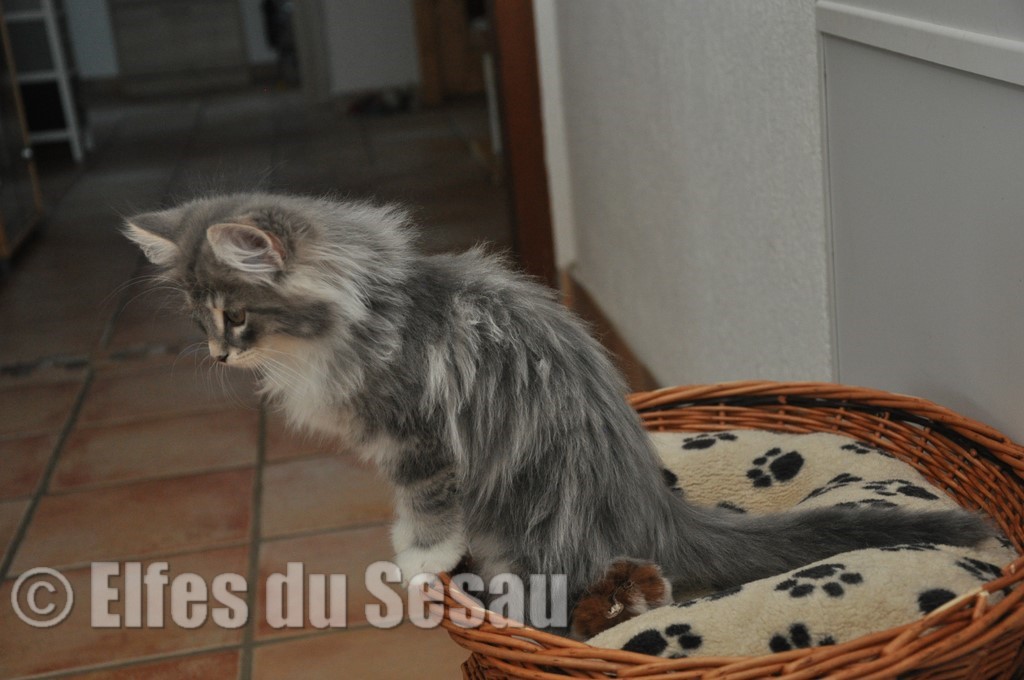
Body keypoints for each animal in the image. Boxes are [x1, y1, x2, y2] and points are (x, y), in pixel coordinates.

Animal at [124, 192, 992, 629]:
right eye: (200, 320)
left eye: (238, 317)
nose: (218, 357)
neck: (375, 304)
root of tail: (651, 507)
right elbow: (405, 509)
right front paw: (406, 548)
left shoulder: (422, 441)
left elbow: (430, 510)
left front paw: (420, 564)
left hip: (536, 532)